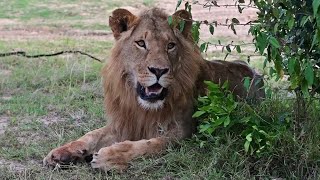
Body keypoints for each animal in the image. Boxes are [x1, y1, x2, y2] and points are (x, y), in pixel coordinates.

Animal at [43, 7, 264, 171]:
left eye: (170, 45)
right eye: (141, 43)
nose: (159, 70)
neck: (143, 108)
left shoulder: (184, 131)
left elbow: (151, 145)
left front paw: (110, 156)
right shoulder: (124, 123)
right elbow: (92, 134)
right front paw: (62, 152)